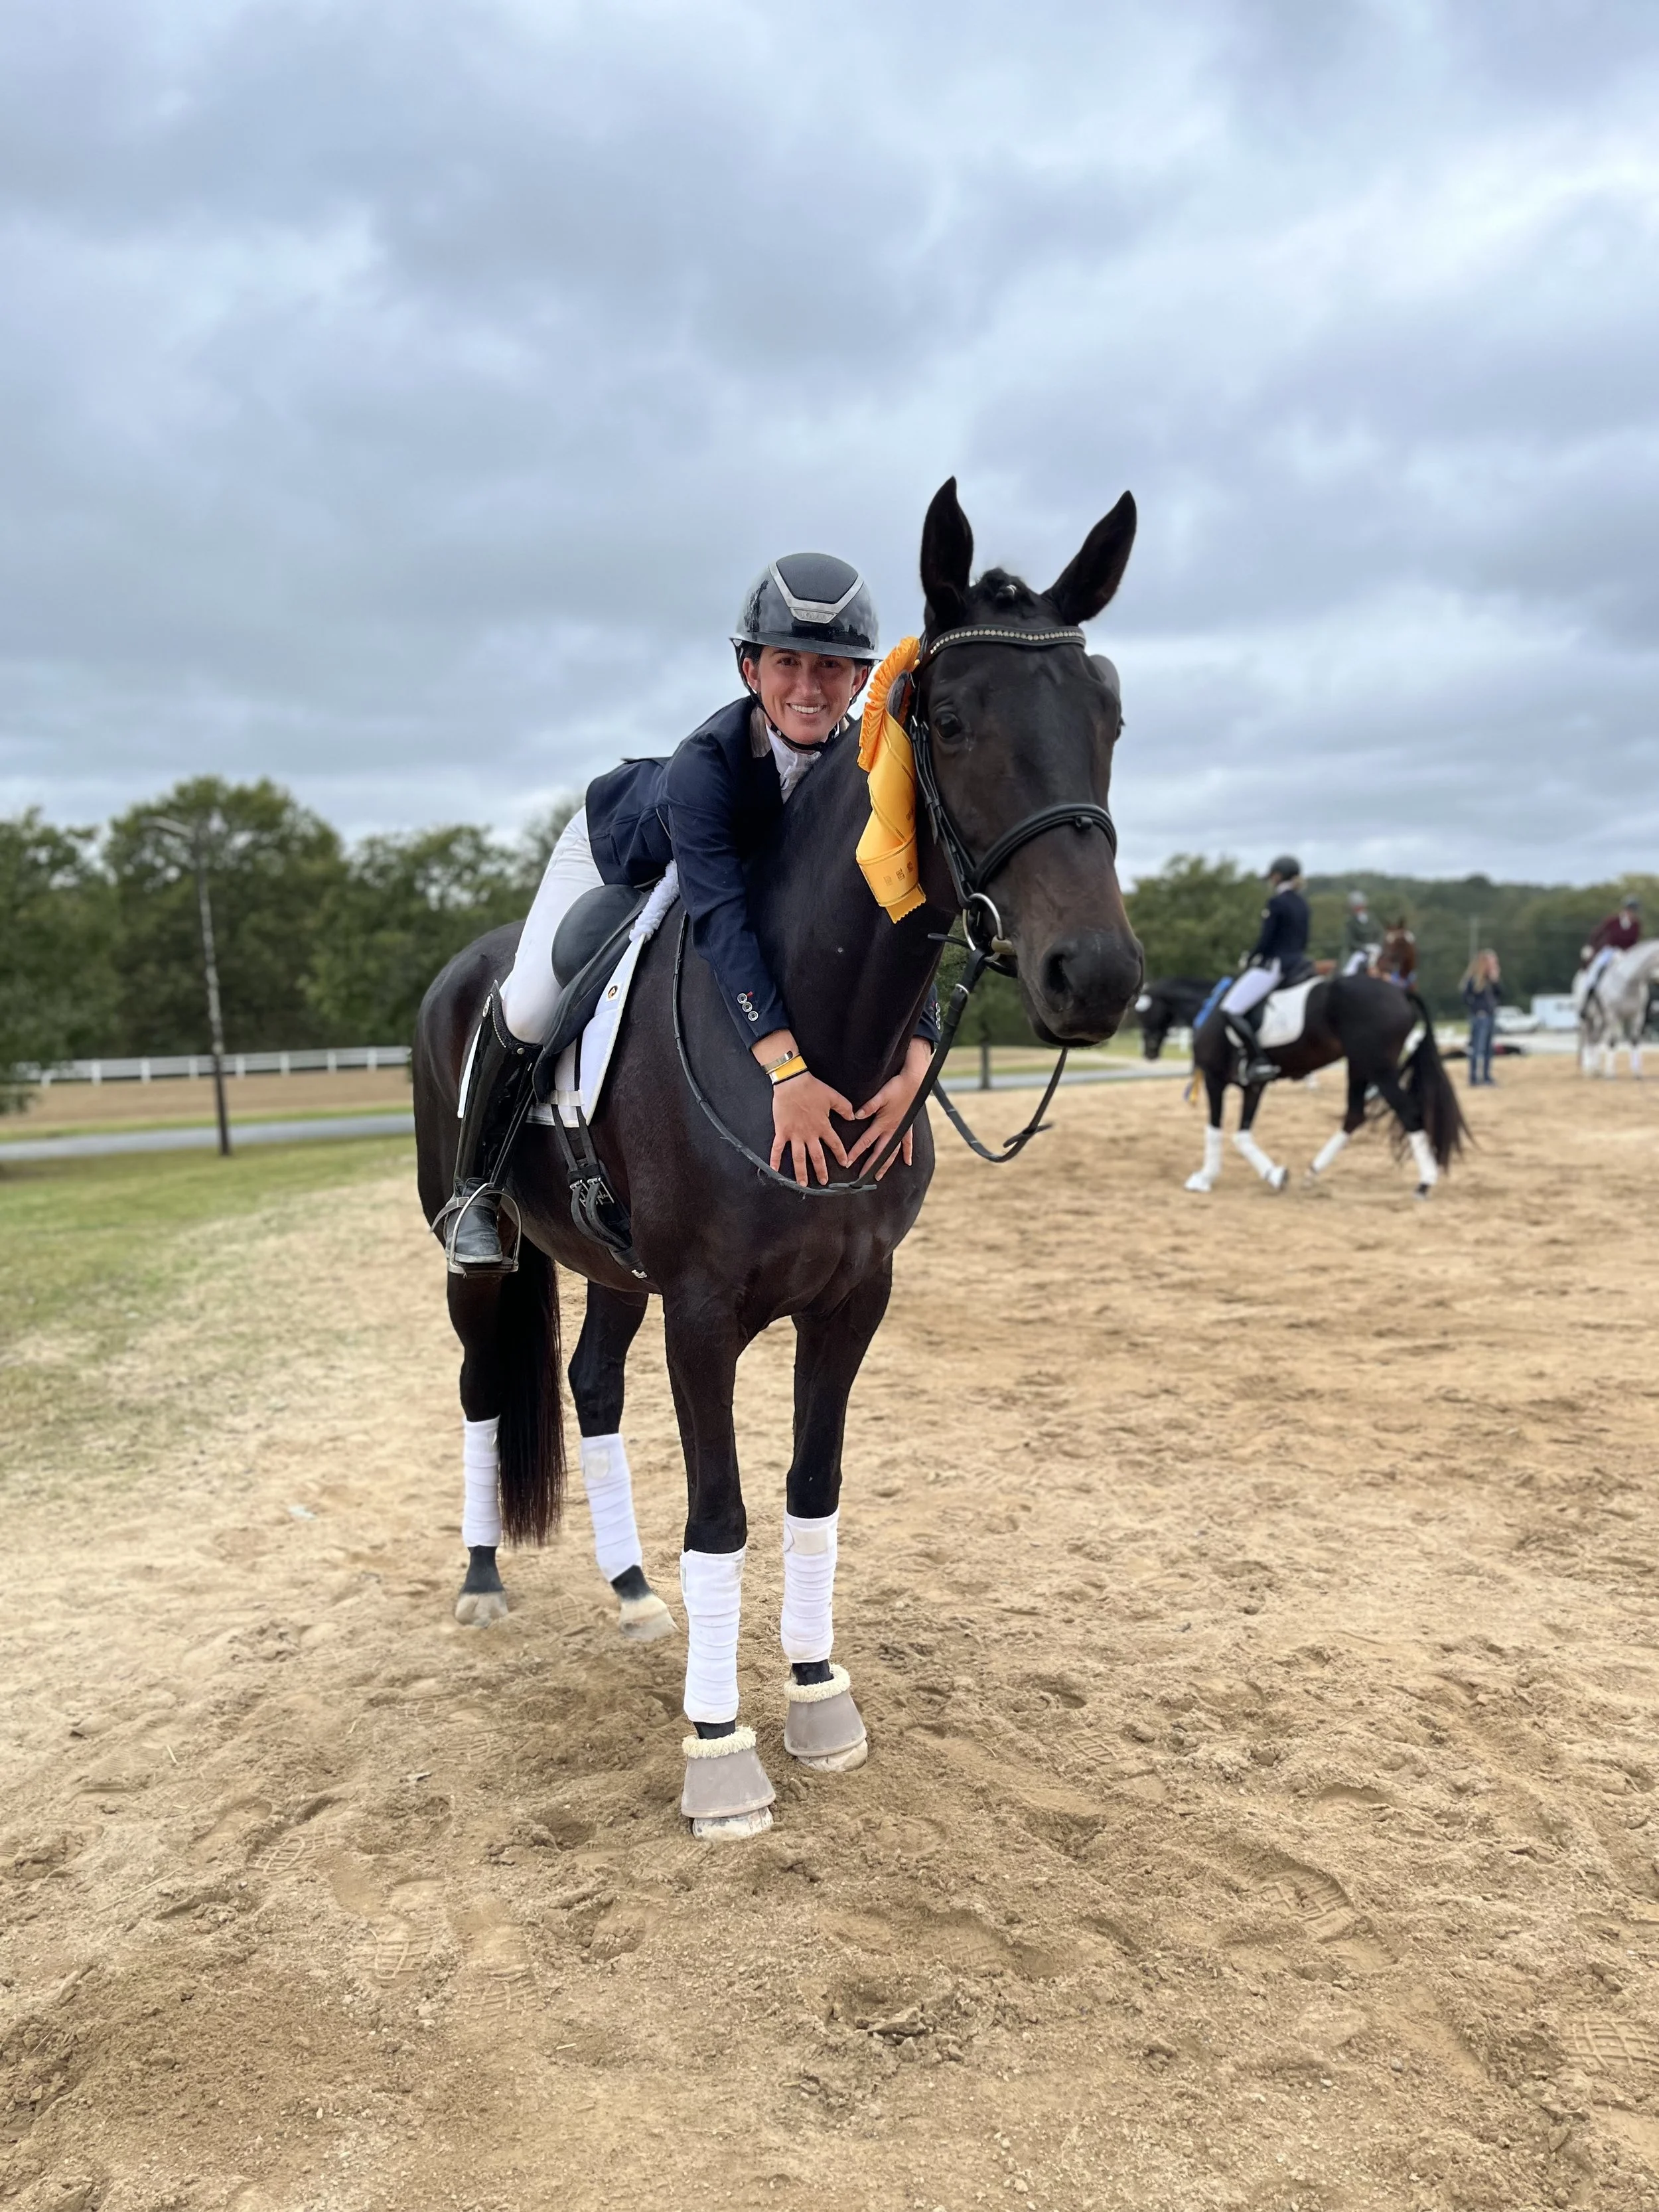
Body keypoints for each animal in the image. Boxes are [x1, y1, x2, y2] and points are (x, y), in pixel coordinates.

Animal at [412, 478, 1143, 1838]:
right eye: (950, 720)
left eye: (1111, 713)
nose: (1098, 975)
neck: (821, 1032)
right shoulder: (704, 1313)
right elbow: (724, 1513)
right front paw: (718, 1749)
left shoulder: (853, 1299)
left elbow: (812, 1490)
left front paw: (814, 1691)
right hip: (477, 1250)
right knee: (485, 1380)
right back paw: (485, 1578)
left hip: (614, 1271)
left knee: (589, 1382)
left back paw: (632, 1591)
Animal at [1184, 974, 1466, 1198]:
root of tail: (1400, 992)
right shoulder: (1253, 1086)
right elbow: (1242, 1135)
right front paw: (1275, 1175)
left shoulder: (1214, 1079)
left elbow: (1214, 1129)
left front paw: (1204, 1178)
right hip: (1359, 1066)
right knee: (1355, 1115)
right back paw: (1312, 1173)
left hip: (1378, 1070)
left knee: (1408, 1114)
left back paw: (1425, 1183)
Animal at [1574, 940, 1659, 1077]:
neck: (1630, 983)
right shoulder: (1613, 1015)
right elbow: (1612, 1041)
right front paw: (1610, 1073)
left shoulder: (1637, 1016)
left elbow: (1635, 1040)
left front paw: (1637, 1072)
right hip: (1587, 1019)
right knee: (1588, 1039)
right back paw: (1589, 1069)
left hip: (1602, 1020)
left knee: (1595, 1038)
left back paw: (1596, 1069)